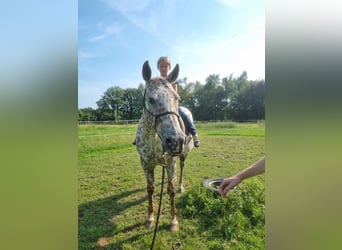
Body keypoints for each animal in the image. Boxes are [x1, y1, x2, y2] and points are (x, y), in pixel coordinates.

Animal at [135, 61, 194, 232]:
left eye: (177, 98)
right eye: (151, 100)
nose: (176, 141)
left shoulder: (170, 162)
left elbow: (171, 190)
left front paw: (173, 221)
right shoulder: (145, 163)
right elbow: (150, 188)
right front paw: (149, 218)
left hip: (183, 156)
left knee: (181, 170)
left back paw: (181, 186)